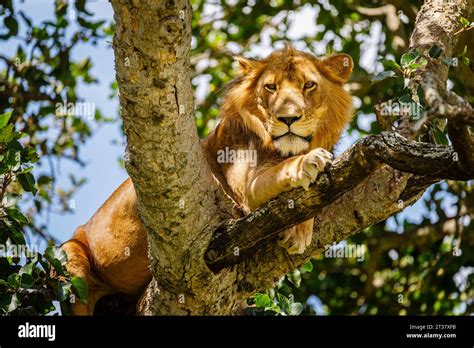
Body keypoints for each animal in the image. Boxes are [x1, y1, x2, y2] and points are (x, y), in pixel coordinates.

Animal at [61, 44, 354, 316]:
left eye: (309, 85)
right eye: (271, 87)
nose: (289, 118)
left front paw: (299, 229)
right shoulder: (247, 191)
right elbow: (285, 170)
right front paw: (309, 163)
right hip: (71, 259)